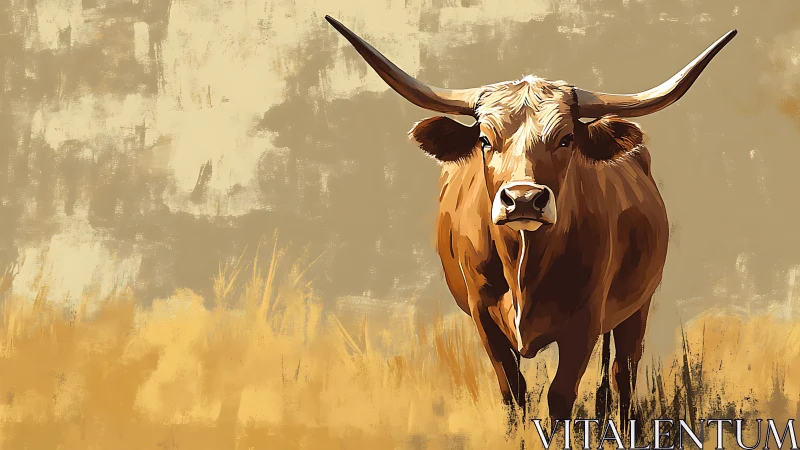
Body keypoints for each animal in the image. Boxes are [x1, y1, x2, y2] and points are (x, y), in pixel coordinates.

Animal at [325, 15, 736, 426]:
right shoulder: (482, 313)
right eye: (485, 139)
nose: (523, 199)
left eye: (566, 139)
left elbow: (560, 396)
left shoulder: (586, 320)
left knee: (624, 372)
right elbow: (513, 390)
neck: (524, 264)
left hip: (639, 304)